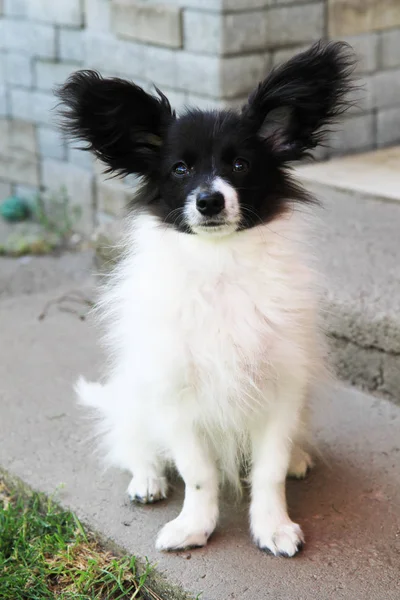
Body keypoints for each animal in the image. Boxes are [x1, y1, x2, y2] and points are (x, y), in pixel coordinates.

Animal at [58, 41, 354, 556]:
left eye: (240, 165)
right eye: (180, 169)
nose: (209, 201)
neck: (220, 265)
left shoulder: (281, 388)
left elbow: (270, 471)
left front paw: (273, 526)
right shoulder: (176, 394)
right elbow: (198, 472)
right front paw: (194, 526)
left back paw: (299, 456)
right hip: (137, 397)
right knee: (133, 443)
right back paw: (148, 479)